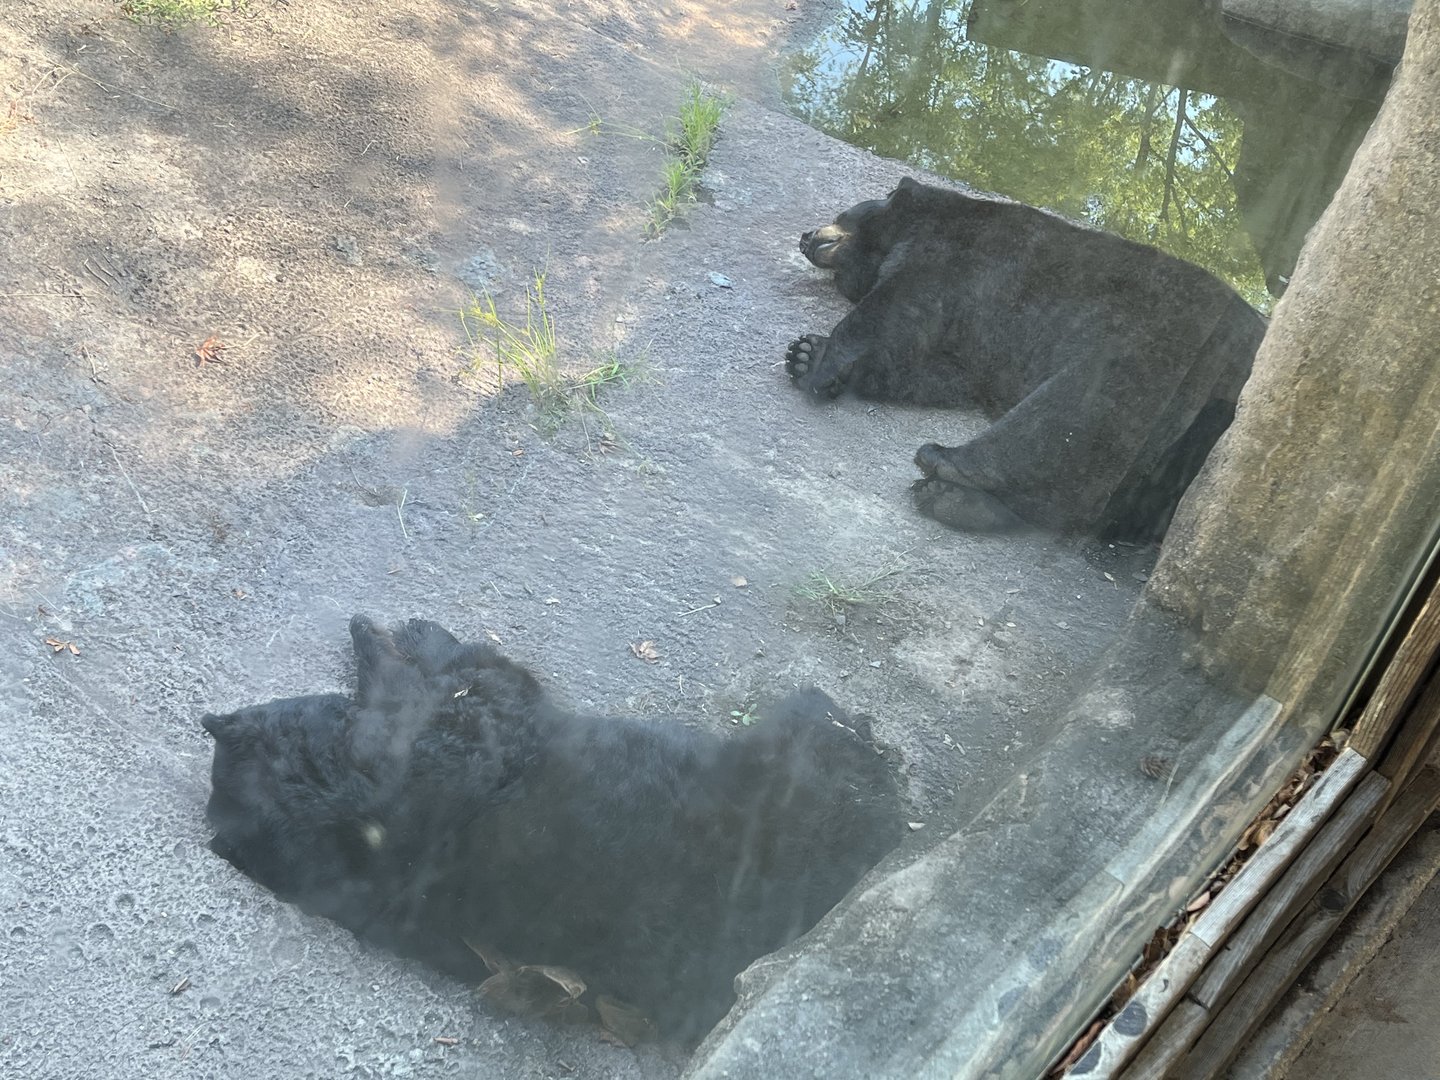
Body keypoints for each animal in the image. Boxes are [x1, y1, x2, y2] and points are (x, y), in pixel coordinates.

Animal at [786, 176, 1268, 543]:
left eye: (842, 213)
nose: (805, 237)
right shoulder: (972, 340)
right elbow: (934, 370)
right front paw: (805, 354)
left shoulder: (954, 252)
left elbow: (895, 307)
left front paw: (821, 360)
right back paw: (957, 499)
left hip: (1159, 350)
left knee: (1080, 410)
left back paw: (946, 465)